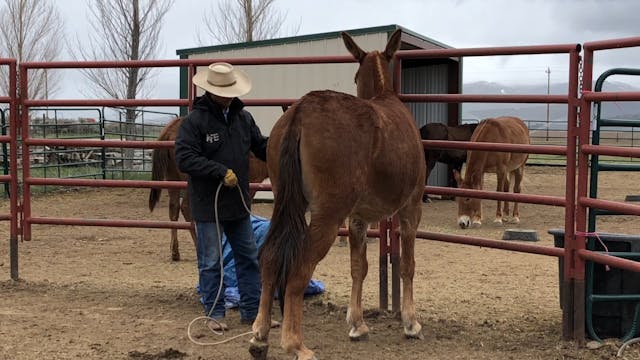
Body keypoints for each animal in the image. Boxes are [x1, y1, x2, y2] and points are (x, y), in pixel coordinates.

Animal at [149, 116, 268, 260]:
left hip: (172, 178)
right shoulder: (248, 187)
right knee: (186, 208)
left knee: (174, 209)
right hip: (190, 182)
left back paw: (175, 252)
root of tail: (172, 127)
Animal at [250, 28, 424, 360]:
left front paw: (357, 324)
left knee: (269, 259)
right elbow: (407, 266)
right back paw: (295, 344)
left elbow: (359, 268)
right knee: (298, 270)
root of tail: (300, 112)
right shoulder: (410, 208)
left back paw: (260, 337)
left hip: (287, 205)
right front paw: (410, 323)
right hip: (327, 217)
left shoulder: (358, 218)